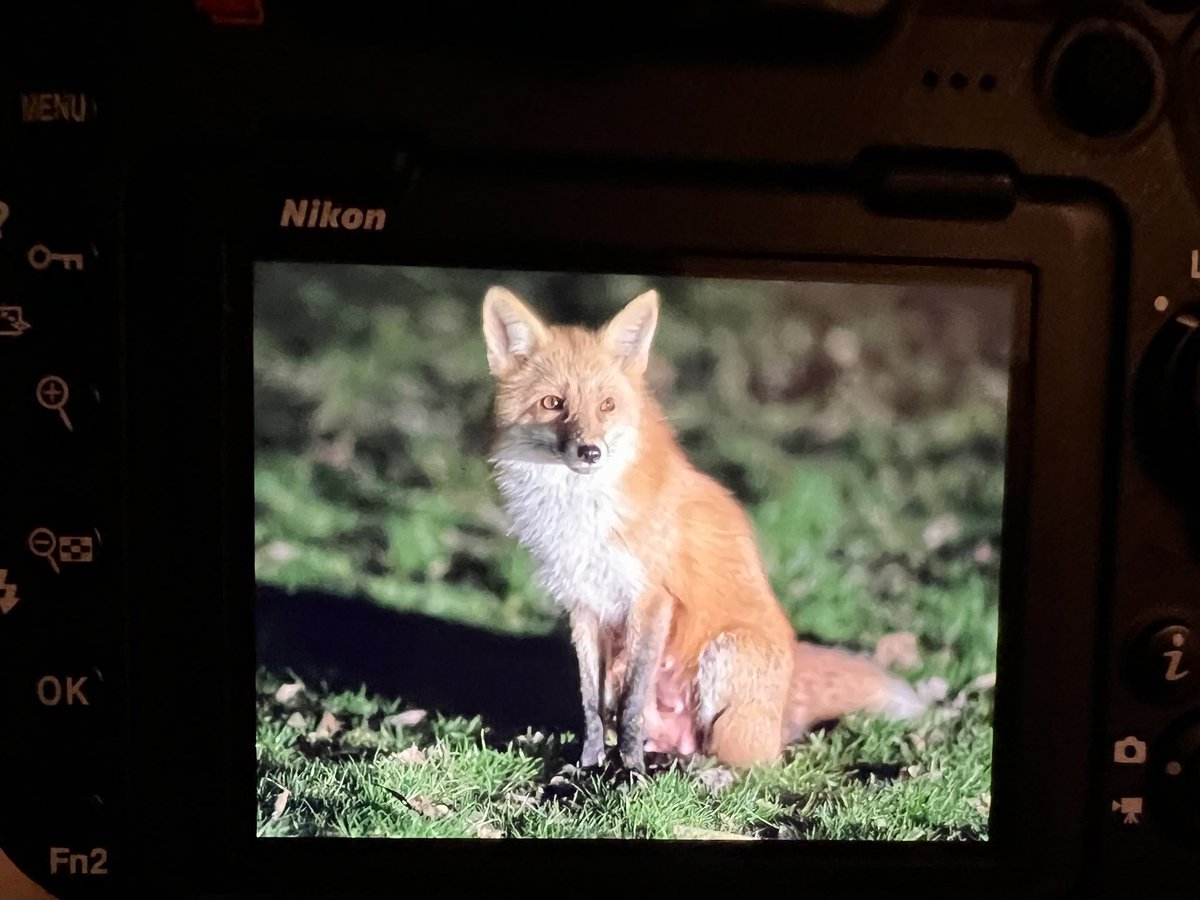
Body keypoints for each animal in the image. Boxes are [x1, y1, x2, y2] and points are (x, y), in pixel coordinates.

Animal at [482, 286, 921, 768]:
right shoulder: (584, 606)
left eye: (607, 405)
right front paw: (591, 763)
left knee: (746, 760)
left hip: (724, 657)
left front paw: (628, 771)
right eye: (553, 403)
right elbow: (592, 705)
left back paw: (692, 769)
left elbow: (631, 704)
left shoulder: (651, 600)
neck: (581, 515)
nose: (590, 451)